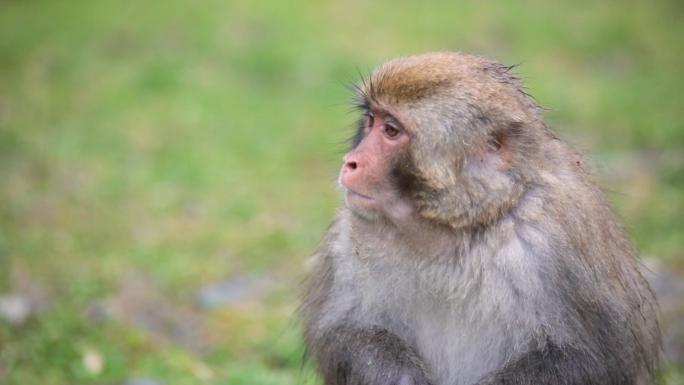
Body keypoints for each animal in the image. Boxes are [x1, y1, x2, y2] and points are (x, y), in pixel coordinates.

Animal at [298, 51, 656, 384]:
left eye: (391, 130)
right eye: (371, 120)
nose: (351, 162)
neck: (458, 230)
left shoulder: (560, 242)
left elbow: (590, 361)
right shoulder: (348, 240)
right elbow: (341, 333)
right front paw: (397, 374)